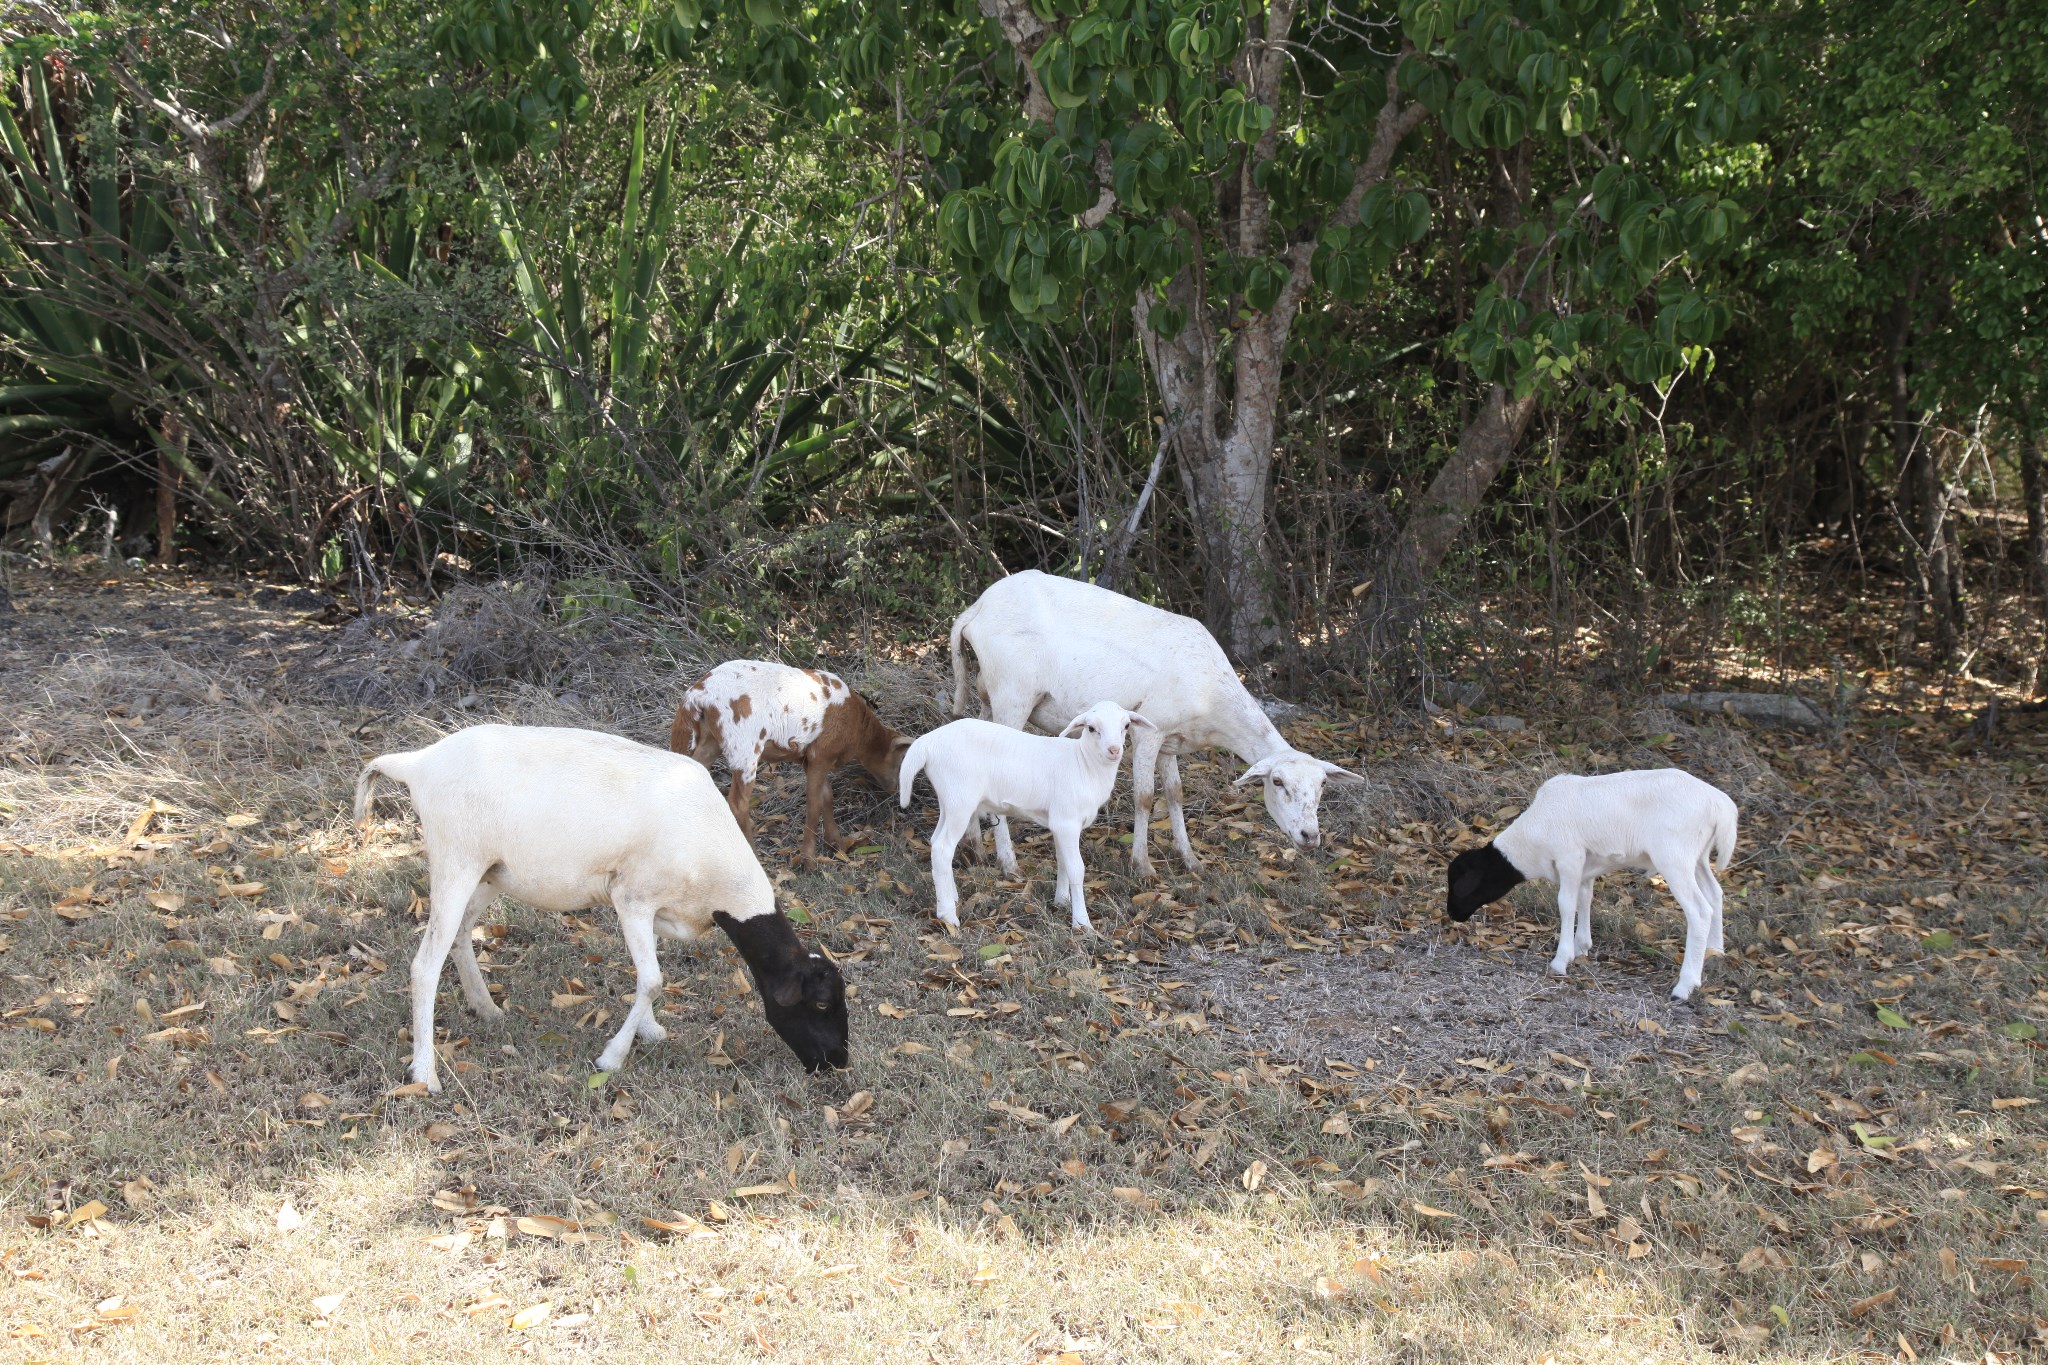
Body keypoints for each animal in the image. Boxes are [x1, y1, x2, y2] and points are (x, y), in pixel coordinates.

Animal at [352, 720, 847, 1096]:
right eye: (821, 1003)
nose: (838, 1061)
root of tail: (420, 763)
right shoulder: (633, 898)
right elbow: (653, 980)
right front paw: (612, 1058)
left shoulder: (651, 909)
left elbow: (650, 974)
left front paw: (650, 1031)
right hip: (456, 859)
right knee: (424, 965)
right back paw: (425, 1073)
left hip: (491, 871)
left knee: (459, 933)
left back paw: (486, 1009)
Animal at [667, 658, 909, 863]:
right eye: (900, 763)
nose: (895, 791)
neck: (859, 731)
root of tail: (698, 693)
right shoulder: (822, 753)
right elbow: (814, 803)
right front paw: (809, 860)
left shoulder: (808, 758)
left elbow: (826, 796)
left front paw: (837, 846)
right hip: (744, 745)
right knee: (737, 803)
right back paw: (753, 856)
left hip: (710, 740)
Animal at [897, 699, 1155, 933]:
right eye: (1091, 728)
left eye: (1125, 726)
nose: (1114, 750)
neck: (1084, 764)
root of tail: (927, 743)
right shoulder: (1067, 821)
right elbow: (1076, 868)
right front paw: (1082, 923)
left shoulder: (1059, 822)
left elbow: (1062, 860)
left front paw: (1062, 901)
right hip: (960, 798)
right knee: (943, 848)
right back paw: (948, 916)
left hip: (949, 799)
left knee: (936, 842)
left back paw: (951, 897)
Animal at [950, 573, 1368, 879]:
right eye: (1277, 782)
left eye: (1324, 785)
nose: (1310, 836)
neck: (1213, 702)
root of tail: (974, 611)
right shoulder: (1148, 728)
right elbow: (1145, 798)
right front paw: (1144, 866)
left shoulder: (1172, 739)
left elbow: (1175, 794)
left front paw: (1191, 860)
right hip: (1013, 692)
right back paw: (1008, 862)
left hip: (988, 693)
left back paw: (975, 846)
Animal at [1441, 769, 1744, 1002]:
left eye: (1459, 882)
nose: (1453, 914)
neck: (1531, 839)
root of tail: (1720, 805)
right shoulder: (1586, 865)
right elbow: (1584, 898)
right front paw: (1581, 946)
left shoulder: (1569, 857)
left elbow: (1566, 904)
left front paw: (1561, 960)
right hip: (1698, 856)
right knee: (1715, 894)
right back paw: (1715, 953)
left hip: (1674, 857)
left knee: (1699, 910)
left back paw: (1685, 985)